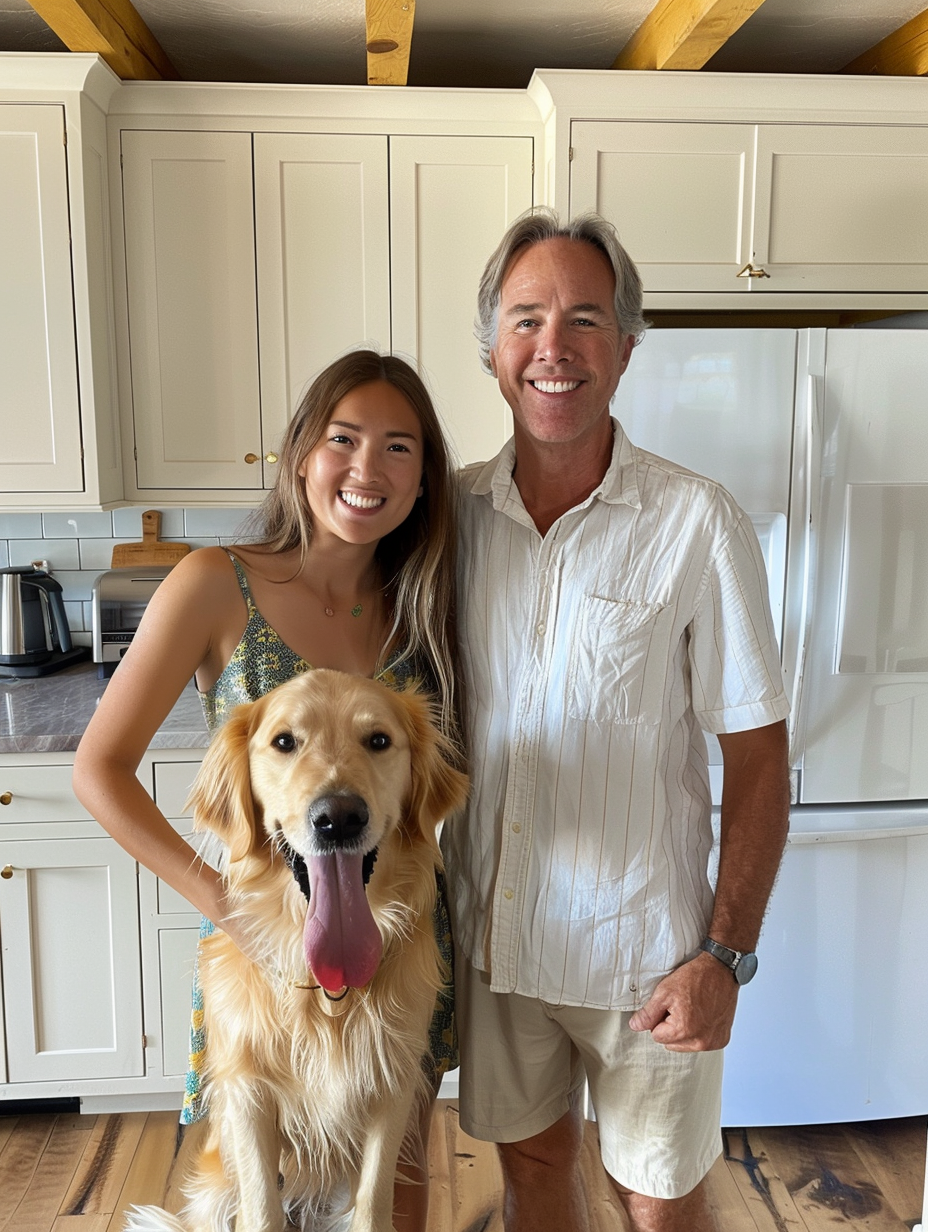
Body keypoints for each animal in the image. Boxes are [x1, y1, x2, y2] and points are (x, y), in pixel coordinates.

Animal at [126, 670, 465, 1232]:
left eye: (378, 740)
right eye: (285, 742)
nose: (339, 818)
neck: (327, 990)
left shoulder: (391, 1084)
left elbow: (372, 1204)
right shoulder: (247, 1093)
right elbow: (262, 1210)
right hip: (216, 1192)